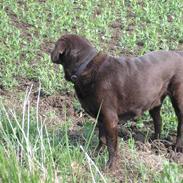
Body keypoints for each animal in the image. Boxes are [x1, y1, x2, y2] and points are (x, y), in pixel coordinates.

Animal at [50, 34, 183, 169]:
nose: (50, 52)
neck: (85, 66)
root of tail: (179, 53)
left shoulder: (110, 119)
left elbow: (111, 145)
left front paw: (110, 165)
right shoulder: (101, 118)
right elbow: (101, 138)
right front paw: (95, 155)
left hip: (178, 99)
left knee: (180, 123)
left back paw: (176, 147)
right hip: (155, 101)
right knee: (158, 121)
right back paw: (154, 142)